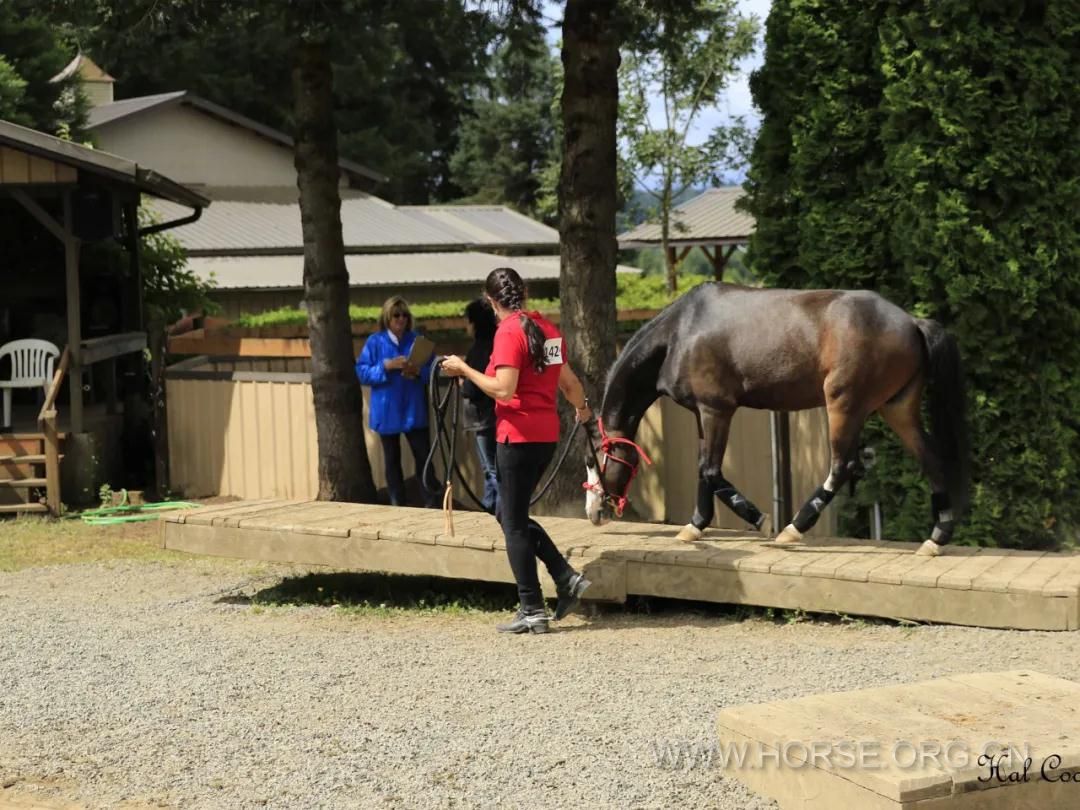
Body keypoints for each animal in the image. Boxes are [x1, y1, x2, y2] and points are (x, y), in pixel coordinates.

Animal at [587, 282, 976, 557]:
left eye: (593, 459)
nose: (594, 512)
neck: (681, 331)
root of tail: (911, 322)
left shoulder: (717, 409)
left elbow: (711, 471)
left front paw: (760, 519)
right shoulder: (702, 413)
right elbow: (703, 469)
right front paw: (694, 526)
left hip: (843, 404)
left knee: (842, 466)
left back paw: (793, 529)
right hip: (896, 408)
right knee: (931, 459)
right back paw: (936, 538)